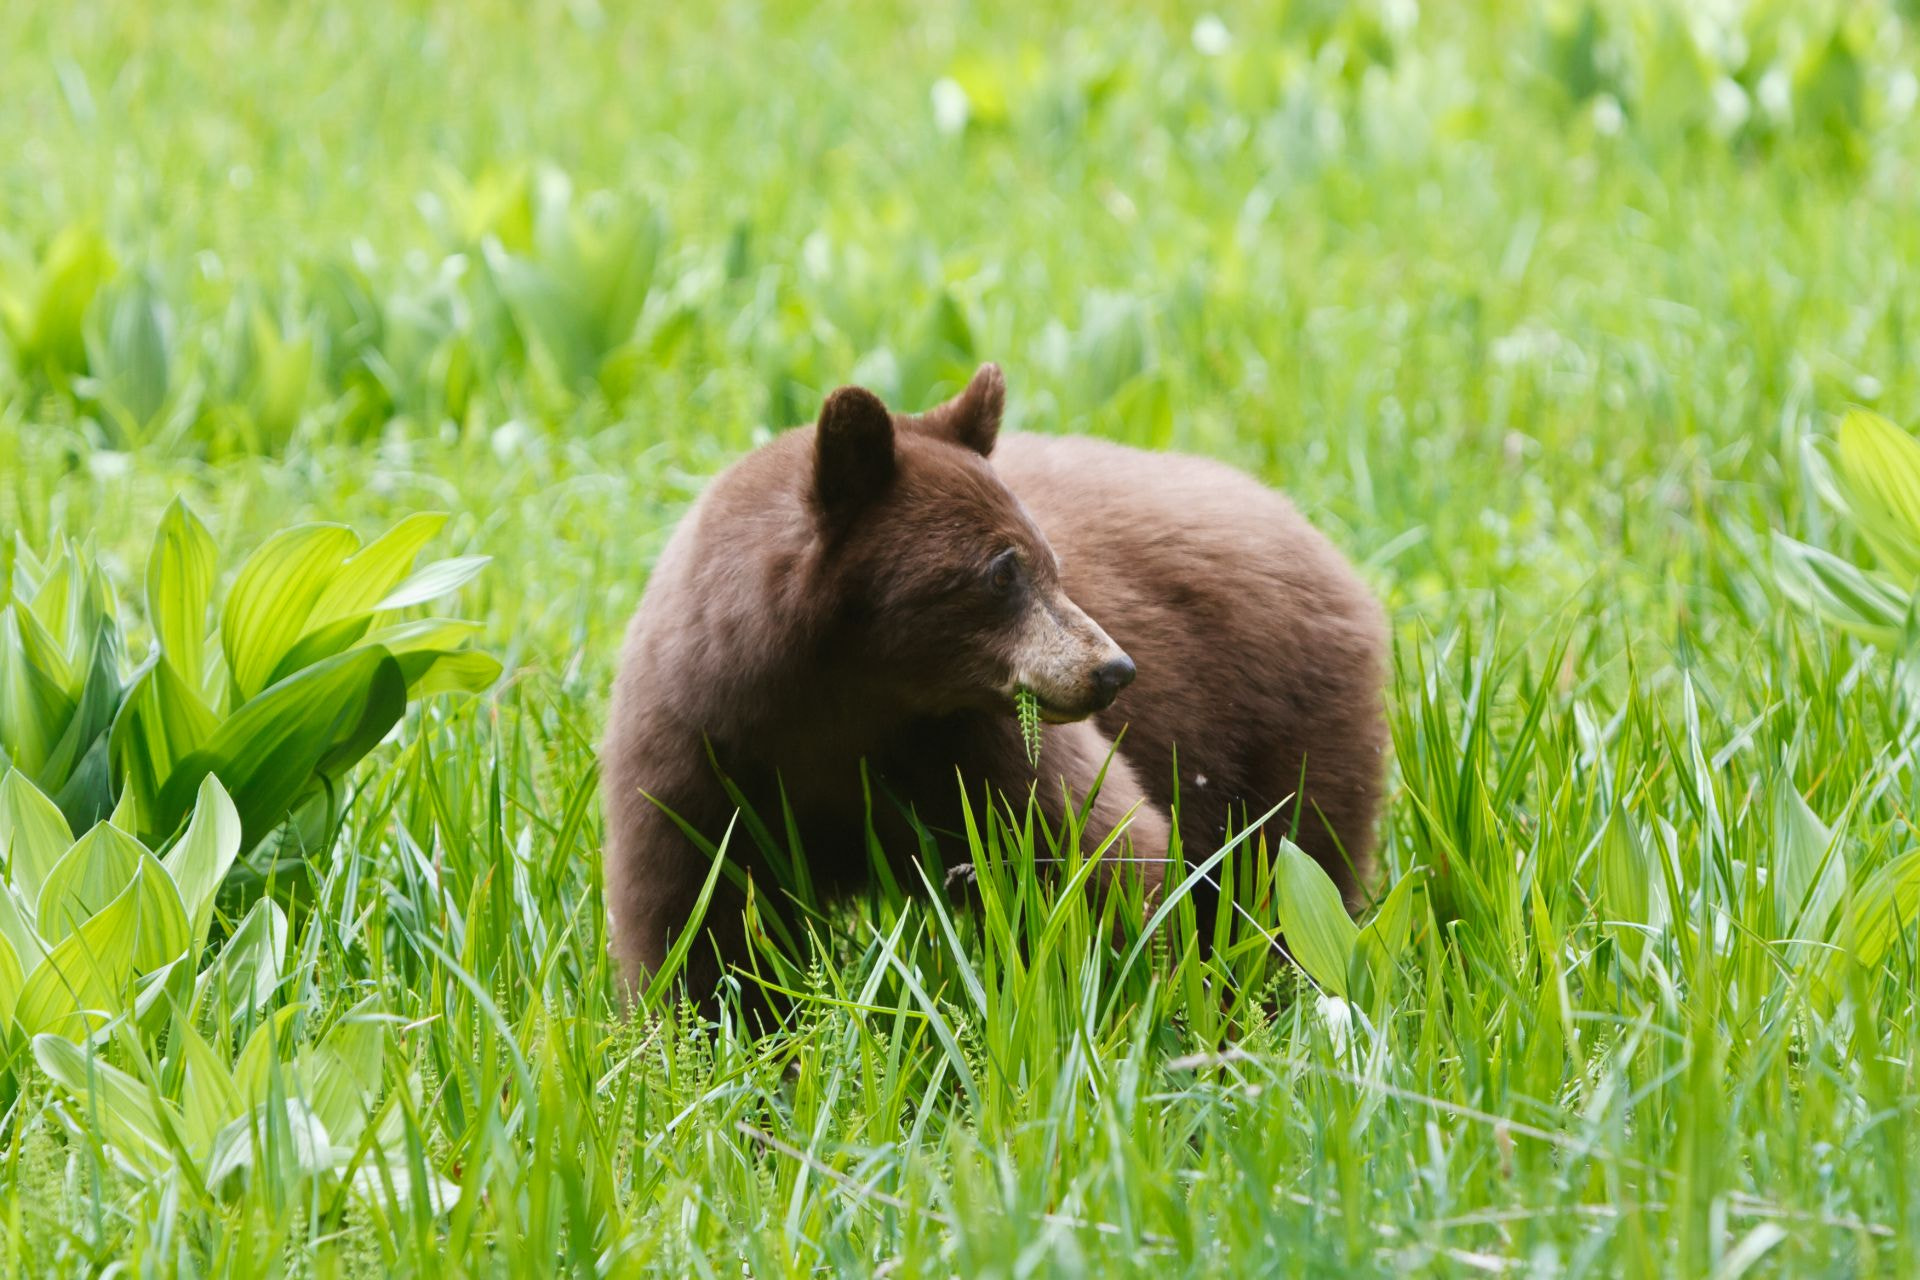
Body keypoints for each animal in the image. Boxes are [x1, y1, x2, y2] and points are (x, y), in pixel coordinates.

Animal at [599, 364, 1382, 1005]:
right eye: (1003, 571)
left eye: (1052, 561)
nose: (1114, 670)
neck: (841, 706)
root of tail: (1323, 539)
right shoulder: (695, 759)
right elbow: (698, 927)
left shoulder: (978, 743)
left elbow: (1103, 850)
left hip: (1285, 722)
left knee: (1289, 863)